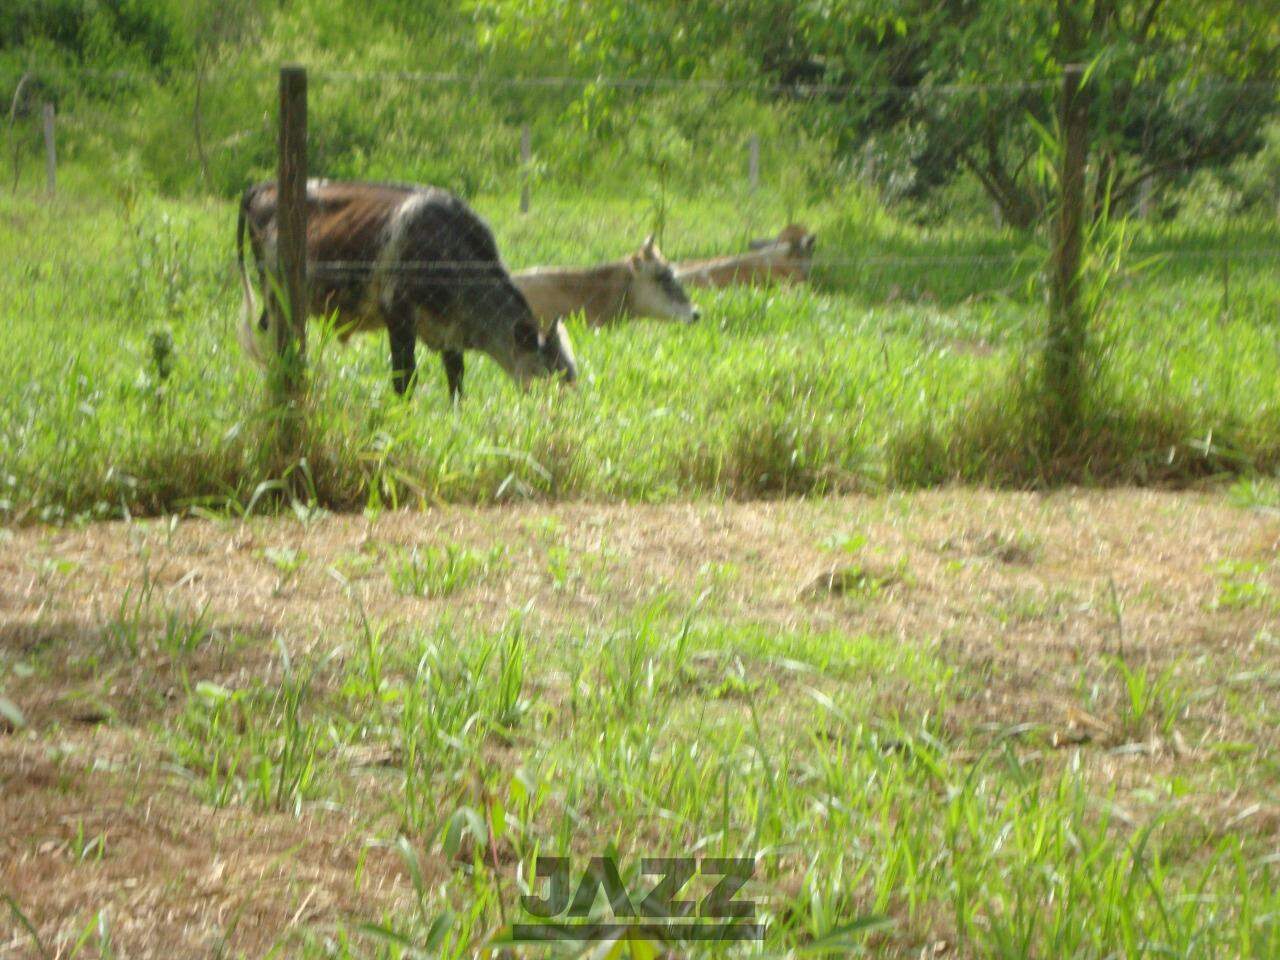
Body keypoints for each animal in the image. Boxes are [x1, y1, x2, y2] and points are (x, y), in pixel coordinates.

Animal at [238, 179, 578, 399]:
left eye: (570, 375)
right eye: (552, 376)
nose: (568, 415)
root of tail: (263, 186)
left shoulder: (450, 331)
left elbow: (456, 380)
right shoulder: (398, 315)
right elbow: (405, 379)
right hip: (275, 291)